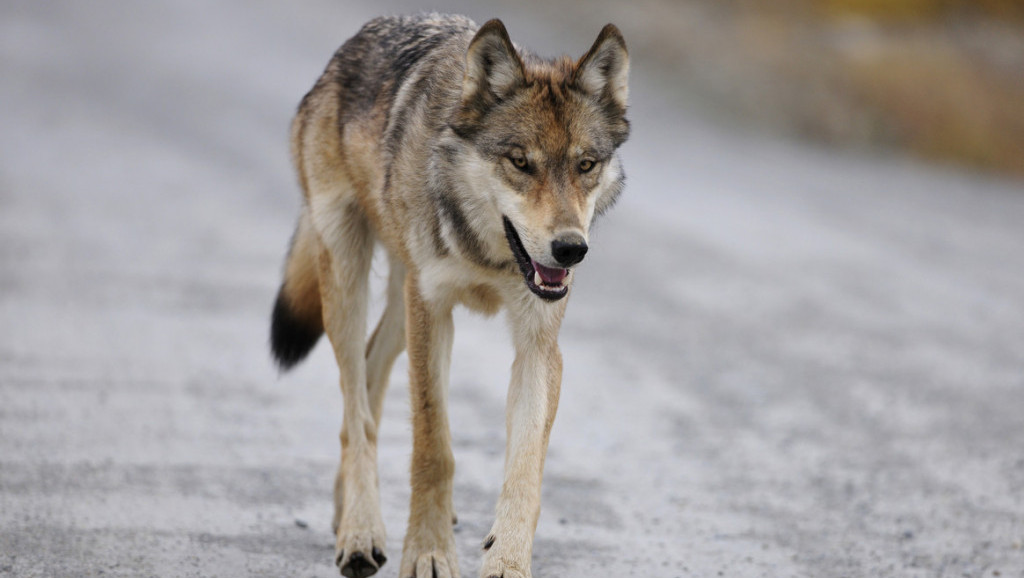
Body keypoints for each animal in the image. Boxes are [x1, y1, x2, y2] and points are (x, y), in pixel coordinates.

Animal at [268, 14, 626, 578]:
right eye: (520, 162)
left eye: (585, 165)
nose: (570, 249)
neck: (489, 255)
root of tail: (355, 41)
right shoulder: (432, 314)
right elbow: (433, 448)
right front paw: (429, 552)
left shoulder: (538, 344)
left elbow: (526, 467)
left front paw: (507, 560)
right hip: (349, 280)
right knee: (355, 404)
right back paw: (360, 531)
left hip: (399, 306)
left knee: (368, 378)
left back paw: (345, 510)